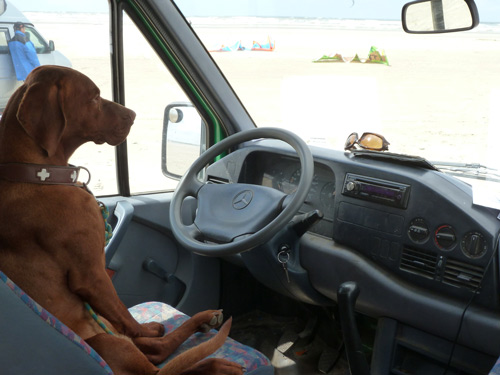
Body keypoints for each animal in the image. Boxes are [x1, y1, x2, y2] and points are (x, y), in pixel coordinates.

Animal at [0, 65, 244, 375]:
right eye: (94, 97)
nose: (133, 114)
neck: (37, 173)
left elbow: (128, 320)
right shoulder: (91, 274)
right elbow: (127, 318)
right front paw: (146, 328)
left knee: (156, 350)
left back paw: (200, 319)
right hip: (106, 341)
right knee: (161, 364)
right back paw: (212, 362)